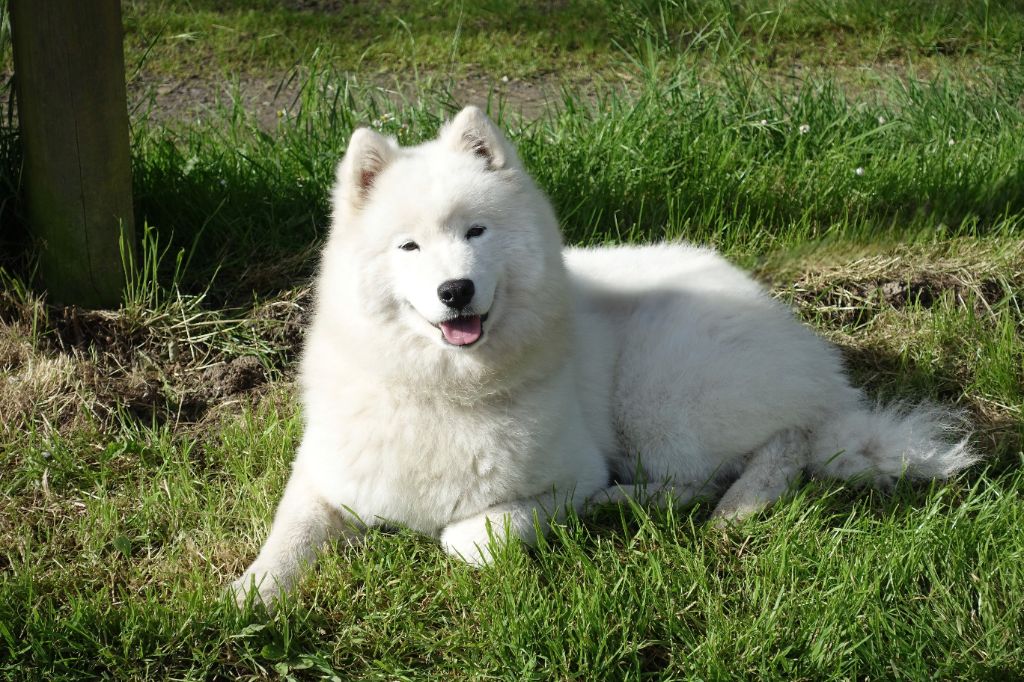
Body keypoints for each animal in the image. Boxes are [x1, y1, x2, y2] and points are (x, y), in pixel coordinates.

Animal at [232, 106, 974, 606]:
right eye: (408, 246)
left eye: (477, 232)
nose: (455, 290)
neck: (443, 389)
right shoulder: (324, 476)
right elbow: (287, 535)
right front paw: (248, 595)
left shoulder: (564, 476)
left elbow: (469, 538)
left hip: (662, 393)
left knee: (763, 453)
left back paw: (692, 504)